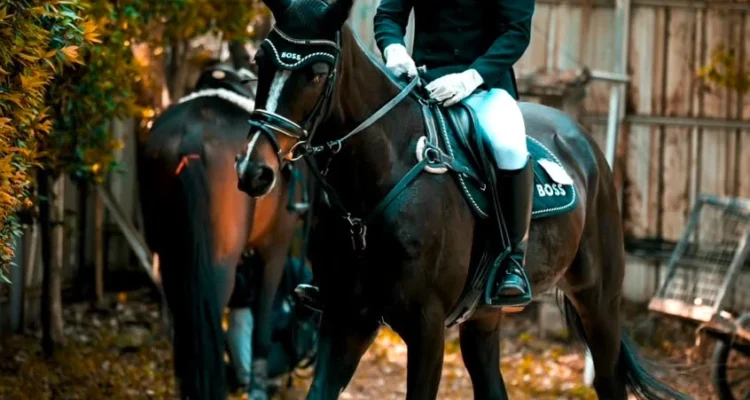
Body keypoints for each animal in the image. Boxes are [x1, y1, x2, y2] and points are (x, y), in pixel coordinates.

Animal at [138, 64, 313, 400]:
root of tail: (190, 140)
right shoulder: (275, 247)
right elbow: (261, 323)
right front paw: (257, 387)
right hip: (217, 264)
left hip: (168, 255)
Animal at [233, 1, 692, 399]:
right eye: (260, 62)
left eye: (317, 72)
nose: (254, 170)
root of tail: (581, 138)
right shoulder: (345, 316)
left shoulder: (426, 326)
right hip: (484, 317)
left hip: (599, 301)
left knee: (609, 379)